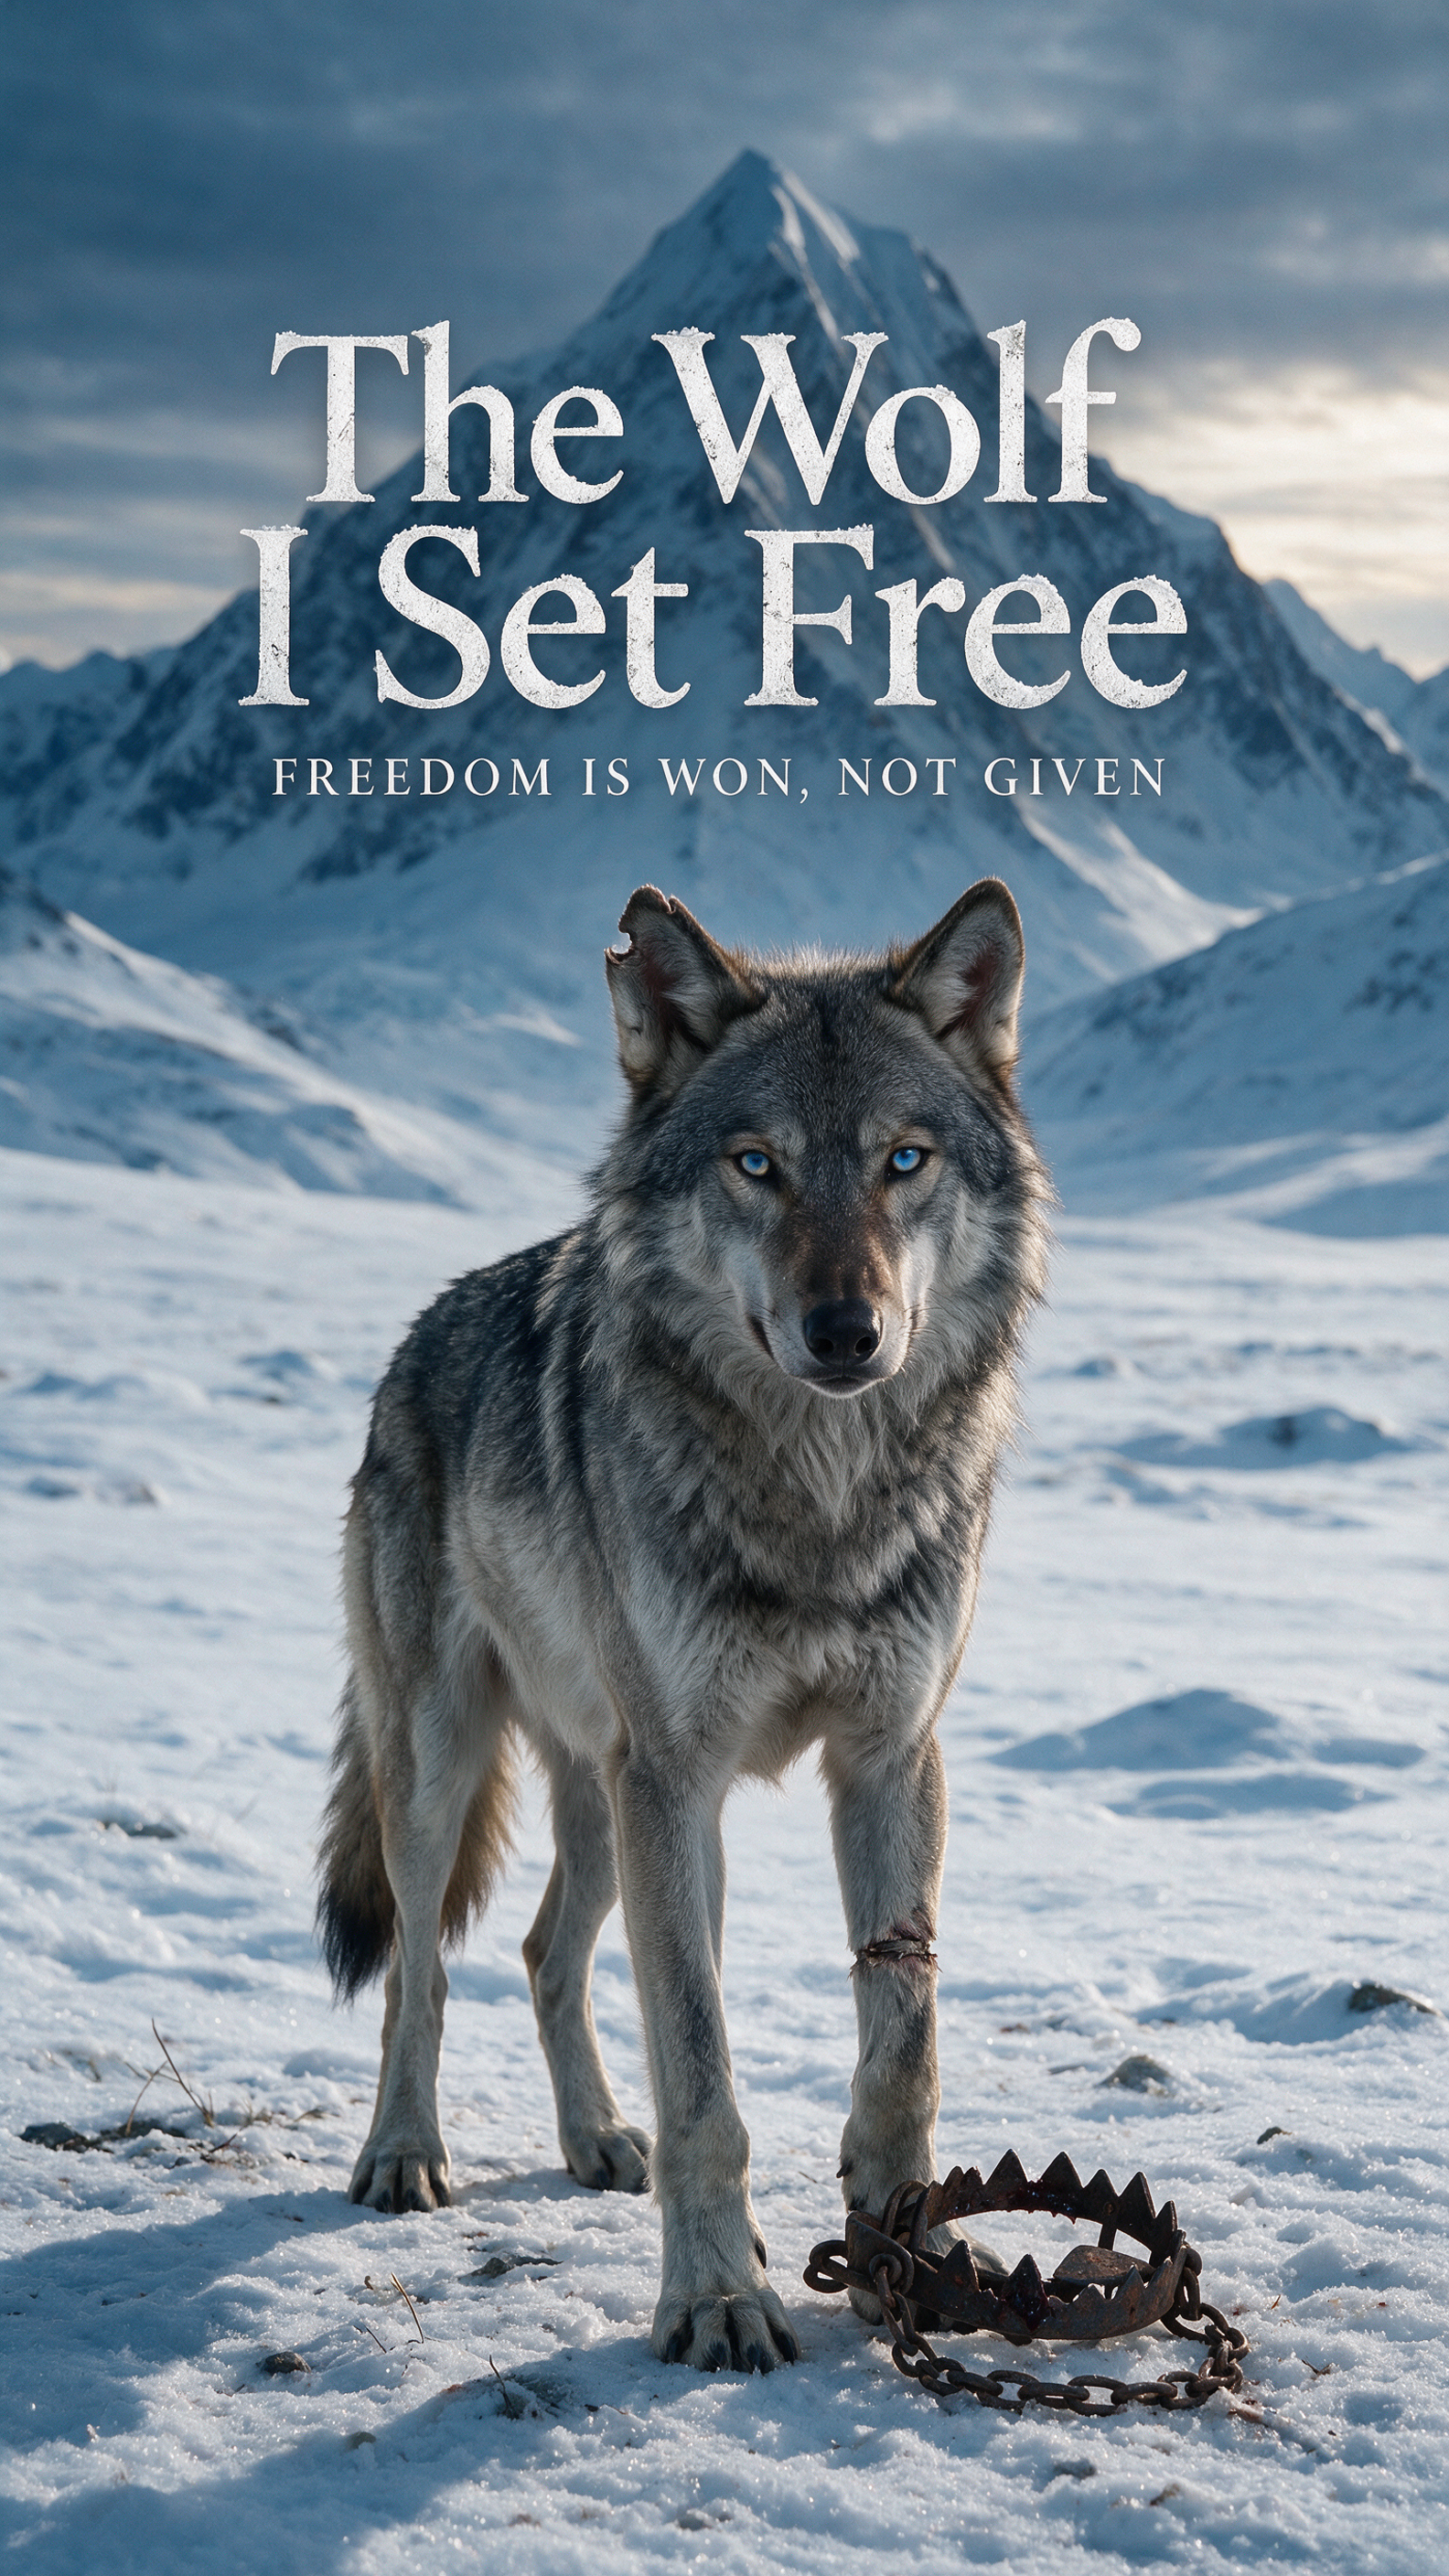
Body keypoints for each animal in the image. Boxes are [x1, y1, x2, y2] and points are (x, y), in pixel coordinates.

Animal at [318, 876, 1048, 2373]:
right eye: (757, 1164)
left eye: (903, 1161)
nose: (847, 1330)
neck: (818, 1501)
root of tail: (411, 1346)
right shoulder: (680, 1775)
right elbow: (705, 2078)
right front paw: (715, 2300)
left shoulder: (891, 1759)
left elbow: (903, 2047)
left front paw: (901, 2256)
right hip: (461, 1774)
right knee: (422, 1966)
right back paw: (405, 2154)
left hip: (612, 1802)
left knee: (545, 1952)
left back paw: (599, 2137)